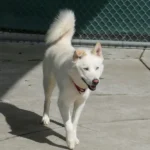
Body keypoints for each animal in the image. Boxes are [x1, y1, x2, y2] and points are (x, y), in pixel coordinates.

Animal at [41, 9, 103, 149]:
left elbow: (73, 123)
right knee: (47, 100)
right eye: (86, 69)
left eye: (97, 68)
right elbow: (69, 125)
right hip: (48, 82)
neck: (77, 85)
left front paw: (74, 138)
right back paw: (46, 118)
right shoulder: (63, 102)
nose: (96, 81)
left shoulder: (80, 103)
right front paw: (70, 141)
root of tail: (61, 42)